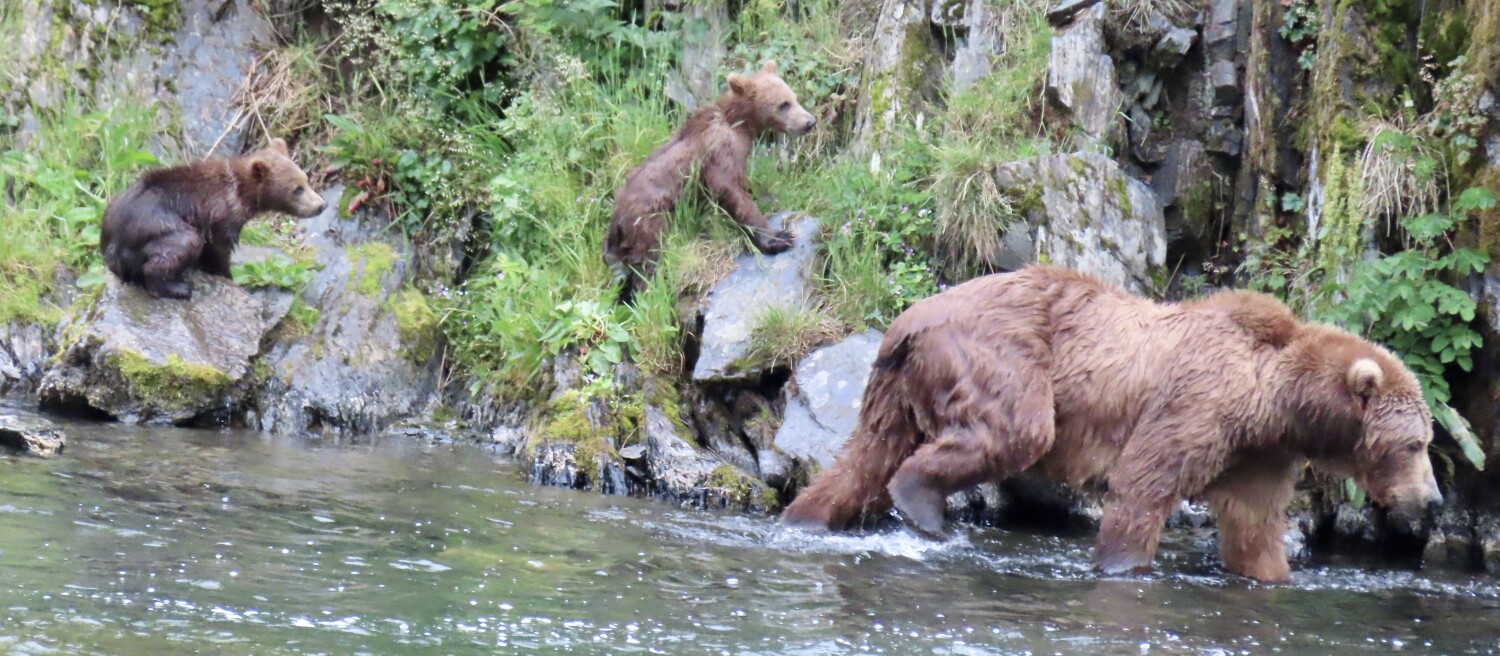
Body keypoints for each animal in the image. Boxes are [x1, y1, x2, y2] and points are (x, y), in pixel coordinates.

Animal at [100, 138, 326, 300]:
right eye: (297, 189)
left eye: (306, 180)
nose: (321, 205)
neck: (242, 193)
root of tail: (116, 247)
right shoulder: (221, 215)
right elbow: (218, 248)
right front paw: (230, 277)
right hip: (158, 228)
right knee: (180, 246)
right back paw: (178, 288)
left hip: (110, 210)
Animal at [604, 60, 816, 301]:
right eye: (783, 104)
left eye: (794, 97)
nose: (810, 122)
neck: (740, 125)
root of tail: (616, 222)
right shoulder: (719, 156)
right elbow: (732, 193)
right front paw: (780, 237)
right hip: (648, 223)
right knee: (648, 264)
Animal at [780, 265, 1444, 583]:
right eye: (1415, 444)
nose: (1434, 500)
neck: (1270, 399)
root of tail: (909, 317)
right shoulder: (1199, 403)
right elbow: (1144, 483)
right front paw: (1124, 564)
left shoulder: (1257, 453)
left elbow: (1254, 526)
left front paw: (1273, 573)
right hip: (1000, 351)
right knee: (1017, 428)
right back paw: (922, 503)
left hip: (893, 388)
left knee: (864, 456)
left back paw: (805, 516)